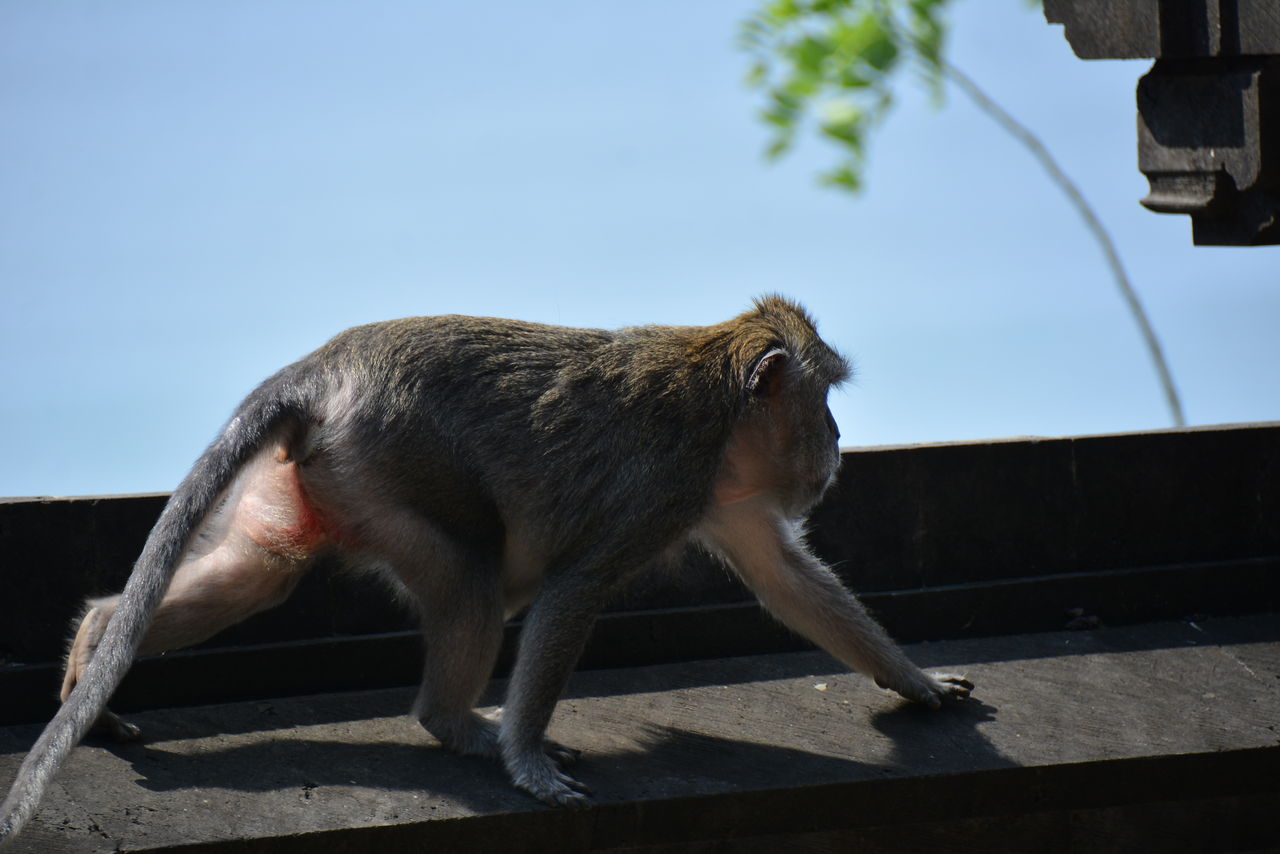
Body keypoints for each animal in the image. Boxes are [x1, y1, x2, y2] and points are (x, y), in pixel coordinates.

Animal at [0, 296, 971, 843]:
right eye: (825, 396)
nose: (837, 440)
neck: (716, 397)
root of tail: (320, 368)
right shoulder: (666, 486)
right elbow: (575, 591)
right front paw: (530, 764)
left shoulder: (724, 490)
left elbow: (785, 578)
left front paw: (918, 684)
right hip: (390, 463)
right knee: (472, 580)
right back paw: (459, 726)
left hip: (321, 473)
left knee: (262, 569)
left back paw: (97, 641)